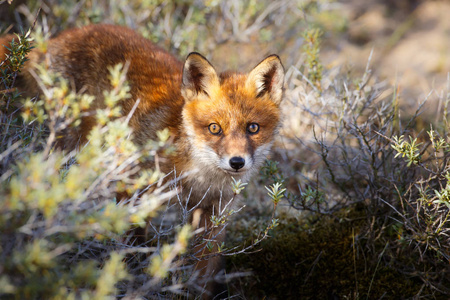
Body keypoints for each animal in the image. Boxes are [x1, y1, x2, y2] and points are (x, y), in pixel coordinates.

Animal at [0, 24, 284, 298]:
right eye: (215, 128)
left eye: (253, 128)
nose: (237, 162)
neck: (197, 177)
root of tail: (55, 40)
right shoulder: (132, 186)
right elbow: (132, 247)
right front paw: (129, 281)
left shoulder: (214, 215)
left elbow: (206, 274)